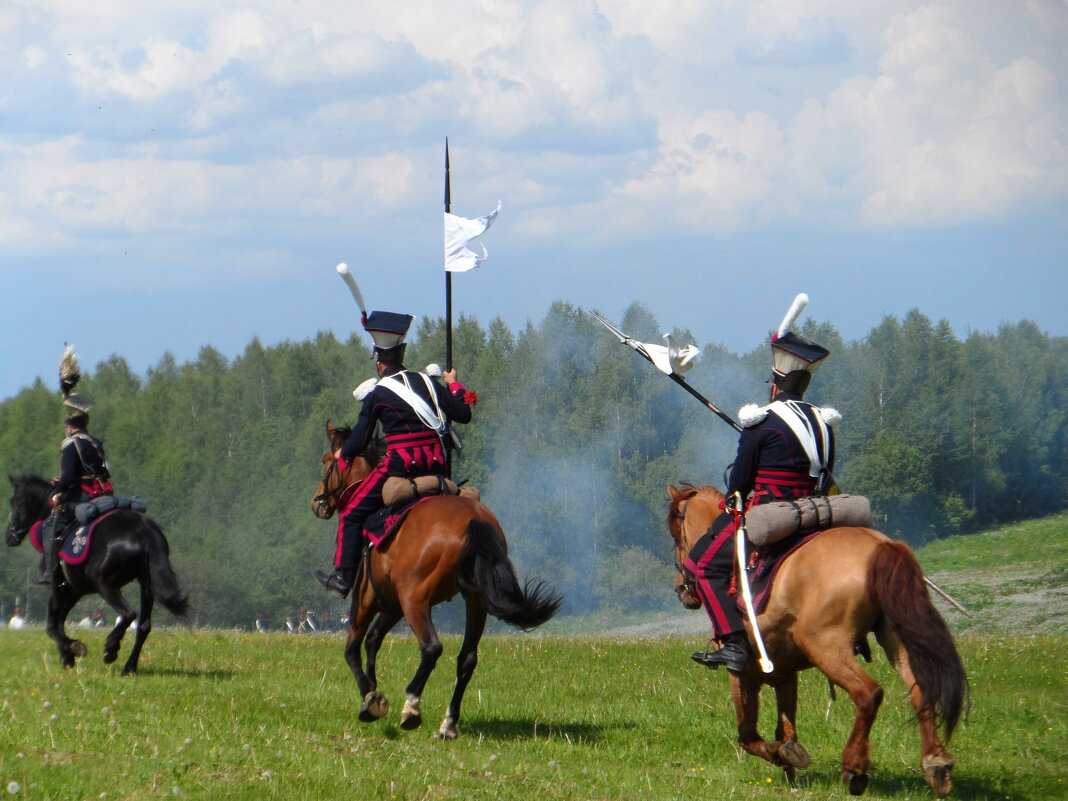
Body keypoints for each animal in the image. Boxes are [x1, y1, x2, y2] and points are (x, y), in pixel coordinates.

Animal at [5, 476, 190, 679]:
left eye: (16, 502)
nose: (9, 536)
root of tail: (145, 532)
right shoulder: (74, 589)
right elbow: (58, 621)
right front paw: (68, 654)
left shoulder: (61, 587)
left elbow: (52, 624)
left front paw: (72, 651)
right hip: (146, 584)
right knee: (143, 626)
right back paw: (129, 667)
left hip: (105, 585)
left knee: (128, 614)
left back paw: (111, 648)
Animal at [311, 422, 563, 743]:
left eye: (326, 461)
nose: (317, 502)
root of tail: (474, 519)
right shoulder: (393, 605)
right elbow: (373, 640)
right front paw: (376, 691)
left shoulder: (367, 599)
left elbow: (353, 647)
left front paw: (370, 700)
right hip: (474, 602)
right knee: (467, 658)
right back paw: (448, 724)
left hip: (415, 601)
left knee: (431, 648)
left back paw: (412, 708)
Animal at [666, 487, 969, 798]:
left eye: (677, 535)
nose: (680, 587)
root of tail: (880, 547)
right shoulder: (784, 672)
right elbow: (785, 727)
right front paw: (789, 761)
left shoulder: (742, 671)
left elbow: (747, 736)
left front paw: (781, 755)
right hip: (895, 641)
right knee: (921, 691)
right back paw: (936, 764)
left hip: (827, 649)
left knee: (868, 694)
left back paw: (854, 768)